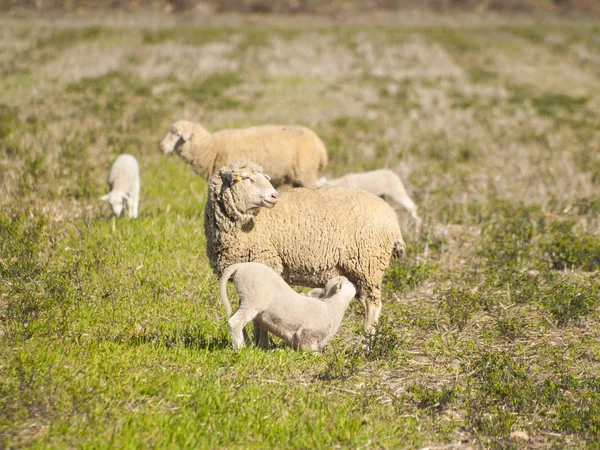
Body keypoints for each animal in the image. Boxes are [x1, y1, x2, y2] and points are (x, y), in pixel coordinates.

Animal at [204, 160, 406, 332]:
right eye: (246, 178)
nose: (274, 195)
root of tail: (393, 219)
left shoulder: (267, 262)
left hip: (368, 265)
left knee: (373, 305)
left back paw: (367, 341)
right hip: (357, 271)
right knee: (366, 301)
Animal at [221, 260, 358, 352]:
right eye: (347, 283)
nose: (355, 284)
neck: (331, 308)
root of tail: (241, 265)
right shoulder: (307, 335)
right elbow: (309, 348)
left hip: (245, 301)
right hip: (252, 300)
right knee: (235, 322)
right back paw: (240, 349)